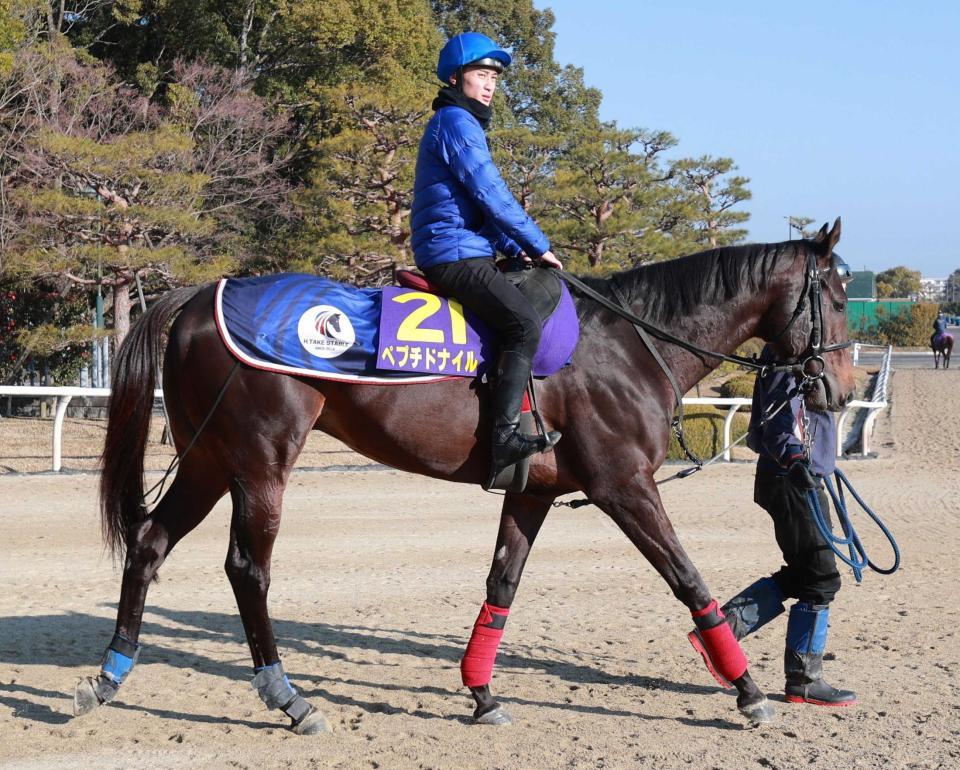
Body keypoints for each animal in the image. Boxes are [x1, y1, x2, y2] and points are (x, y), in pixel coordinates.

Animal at [75, 218, 856, 732]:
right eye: (840, 297)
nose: (840, 389)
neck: (629, 343)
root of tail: (197, 296)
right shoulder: (623, 486)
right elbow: (689, 579)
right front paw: (748, 689)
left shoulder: (534, 492)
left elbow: (500, 585)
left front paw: (481, 693)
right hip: (260, 464)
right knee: (247, 569)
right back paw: (287, 696)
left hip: (209, 461)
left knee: (149, 544)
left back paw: (110, 675)